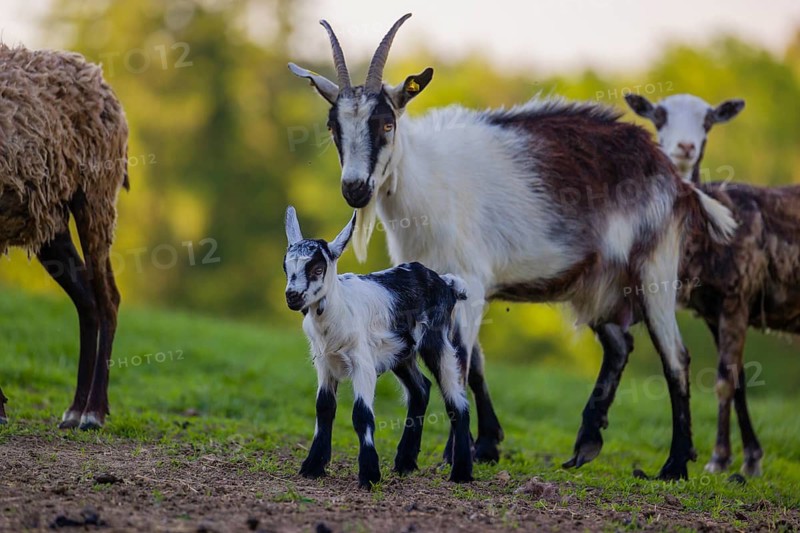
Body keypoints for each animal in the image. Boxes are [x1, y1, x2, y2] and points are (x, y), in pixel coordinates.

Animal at [0, 45, 128, 429]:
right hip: (50, 220)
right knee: (86, 297)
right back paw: (74, 409)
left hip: (96, 196)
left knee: (108, 297)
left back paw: (93, 412)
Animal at [283, 206, 473, 488]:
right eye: (285, 267)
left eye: (317, 268)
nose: (292, 296)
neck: (339, 309)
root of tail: (447, 283)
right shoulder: (325, 363)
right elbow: (324, 407)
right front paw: (313, 466)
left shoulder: (362, 362)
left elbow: (361, 414)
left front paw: (369, 475)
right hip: (401, 353)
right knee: (421, 389)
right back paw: (405, 463)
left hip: (437, 341)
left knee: (456, 401)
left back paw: (461, 472)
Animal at [626, 93, 800, 476]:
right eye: (659, 116)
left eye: (708, 121)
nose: (685, 147)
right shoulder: (711, 309)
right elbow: (739, 380)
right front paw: (750, 459)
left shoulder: (738, 297)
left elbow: (723, 381)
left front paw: (719, 459)